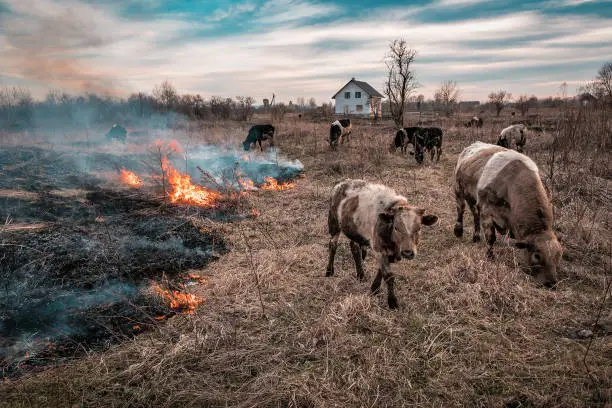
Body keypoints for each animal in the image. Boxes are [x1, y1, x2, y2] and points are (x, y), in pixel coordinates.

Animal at [328, 178, 438, 310]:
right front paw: (392, 302)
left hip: (353, 230)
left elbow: (381, 270)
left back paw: (360, 274)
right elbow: (388, 275)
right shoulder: (379, 249)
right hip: (334, 224)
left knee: (354, 248)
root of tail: (342, 183)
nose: (408, 252)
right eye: (396, 227)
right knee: (333, 245)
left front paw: (374, 289)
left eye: (419, 228)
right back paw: (329, 271)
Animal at [452, 142, 560, 288]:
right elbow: (491, 238)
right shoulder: (487, 211)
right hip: (458, 189)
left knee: (474, 214)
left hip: (472, 198)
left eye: (558, 256)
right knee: (460, 209)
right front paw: (490, 257)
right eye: (537, 256)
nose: (551, 283)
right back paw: (458, 230)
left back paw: (476, 236)